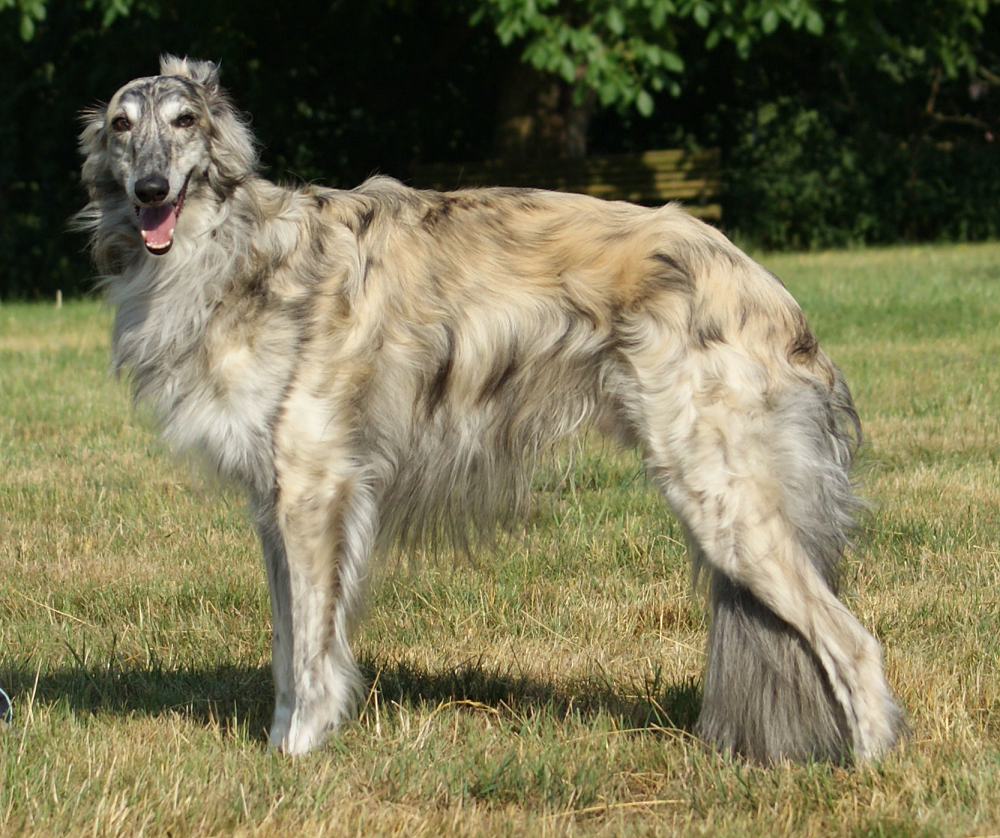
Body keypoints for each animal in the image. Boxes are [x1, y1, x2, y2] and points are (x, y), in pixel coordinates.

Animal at [76, 55, 908, 764]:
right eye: (121, 124)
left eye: (185, 119)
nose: (151, 190)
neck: (241, 253)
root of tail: (764, 287)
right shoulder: (274, 503)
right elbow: (287, 649)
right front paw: (280, 747)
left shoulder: (314, 490)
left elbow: (312, 652)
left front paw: (298, 756)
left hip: (722, 494)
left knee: (855, 645)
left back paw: (871, 772)